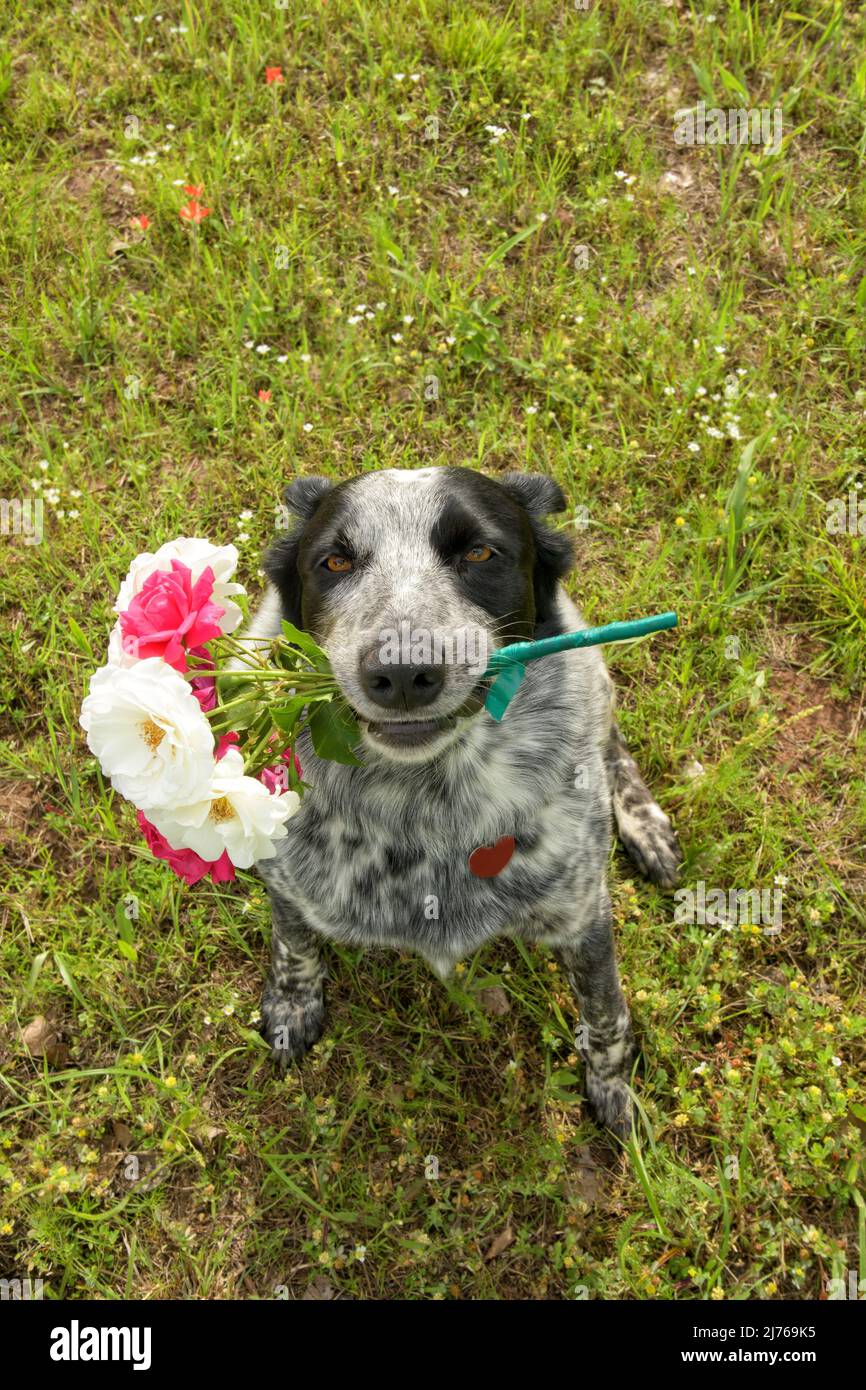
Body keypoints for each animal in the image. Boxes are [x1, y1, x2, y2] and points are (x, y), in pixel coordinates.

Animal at [240, 469, 681, 1139]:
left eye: (478, 552)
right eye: (335, 561)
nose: (401, 673)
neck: (427, 801)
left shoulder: (584, 913)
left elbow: (606, 1014)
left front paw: (615, 1092)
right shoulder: (286, 878)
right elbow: (294, 941)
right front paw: (293, 1005)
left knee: (611, 742)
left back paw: (646, 826)